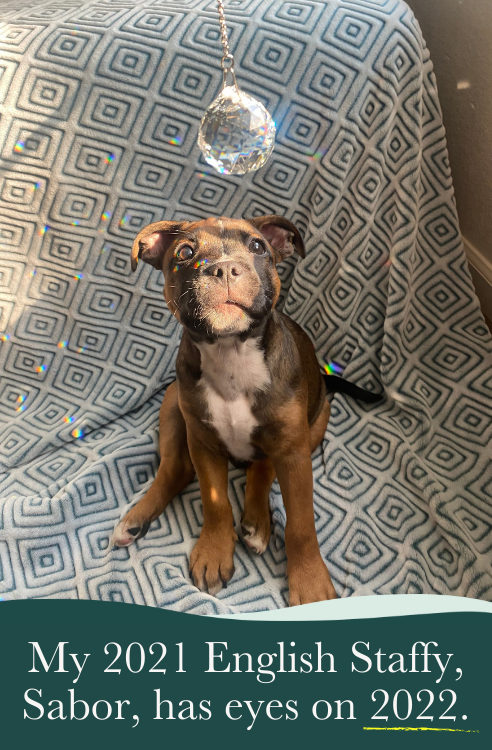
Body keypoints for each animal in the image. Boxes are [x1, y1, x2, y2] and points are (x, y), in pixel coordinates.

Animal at [112, 214, 380, 608]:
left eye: (257, 247)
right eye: (185, 252)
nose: (225, 268)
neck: (231, 355)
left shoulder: (295, 453)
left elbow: (301, 524)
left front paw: (310, 581)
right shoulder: (203, 442)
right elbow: (215, 502)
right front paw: (213, 550)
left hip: (315, 423)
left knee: (263, 466)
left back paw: (257, 520)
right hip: (173, 406)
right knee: (176, 469)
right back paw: (135, 519)